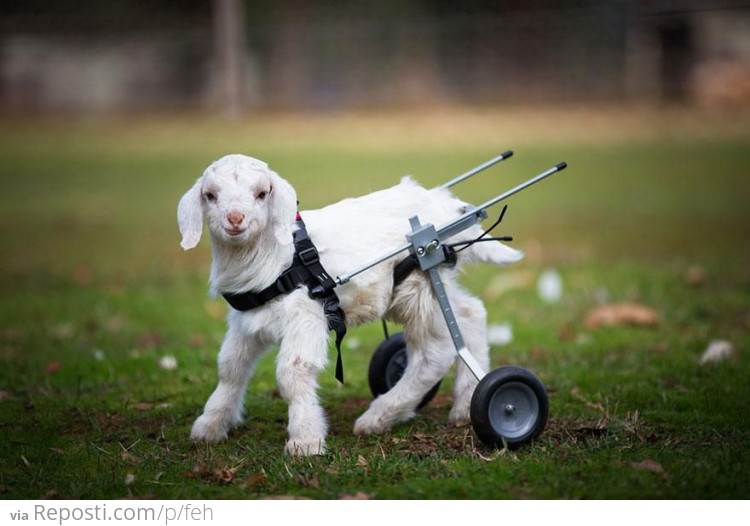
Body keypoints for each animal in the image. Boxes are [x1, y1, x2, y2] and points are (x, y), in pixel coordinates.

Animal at [178, 154, 524, 458]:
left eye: (262, 194)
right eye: (210, 195)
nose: (235, 219)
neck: (275, 259)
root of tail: (448, 208)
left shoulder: (304, 314)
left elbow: (293, 373)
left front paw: (305, 441)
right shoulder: (247, 322)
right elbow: (230, 368)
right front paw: (210, 426)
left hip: (418, 281)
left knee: (433, 353)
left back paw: (378, 417)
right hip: (426, 285)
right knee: (470, 314)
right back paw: (463, 408)